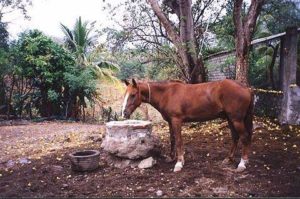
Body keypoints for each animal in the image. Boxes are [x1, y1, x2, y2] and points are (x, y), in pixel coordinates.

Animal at [121, 78, 253, 172]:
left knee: (244, 137)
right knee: (235, 137)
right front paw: (172, 158)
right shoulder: (170, 122)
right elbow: (173, 139)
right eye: (125, 95)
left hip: (236, 120)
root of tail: (247, 88)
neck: (167, 94)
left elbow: (179, 140)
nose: (124, 113)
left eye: (133, 95)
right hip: (231, 119)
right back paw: (229, 159)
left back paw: (242, 164)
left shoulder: (176, 120)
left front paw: (179, 163)